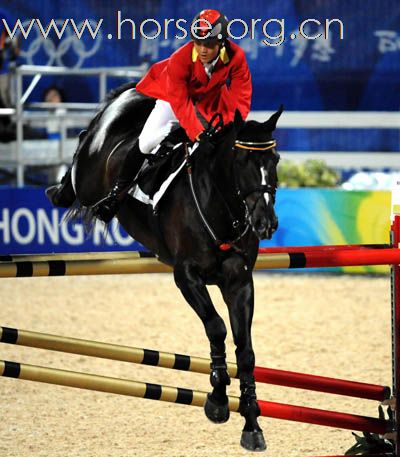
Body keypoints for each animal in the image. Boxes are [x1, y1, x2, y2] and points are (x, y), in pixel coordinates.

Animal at [57, 83, 282, 450]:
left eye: (274, 160)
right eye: (242, 160)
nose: (266, 223)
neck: (220, 203)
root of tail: (130, 93)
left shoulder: (239, 281)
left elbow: (245, 350)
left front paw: (251, 424)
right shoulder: (187, 276)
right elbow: (216, 328)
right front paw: (218, 401)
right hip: (89, 175)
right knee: (79, 159)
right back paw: (61, 188)